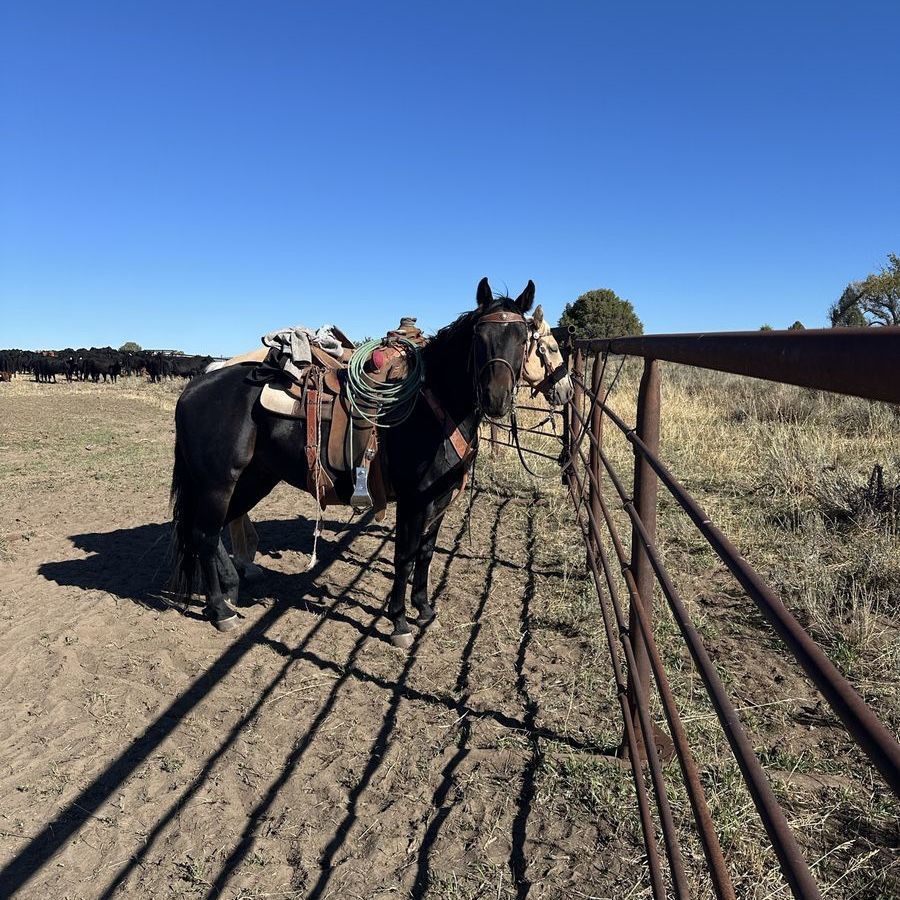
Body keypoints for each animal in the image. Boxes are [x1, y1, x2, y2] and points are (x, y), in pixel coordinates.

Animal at [169, 278, 539, 646]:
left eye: (523, 338)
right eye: (479, 337)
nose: (496, 400)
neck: (432, 408)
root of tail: (195, 387)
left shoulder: (439, 499)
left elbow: (426, 553)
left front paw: (424, 610)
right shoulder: (414, 501)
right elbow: (404, 556)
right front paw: (400, 623)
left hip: (253, 479)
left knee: (215, 529)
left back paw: (230, 590)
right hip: (219, 483)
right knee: (204, 534)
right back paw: (221, 611)